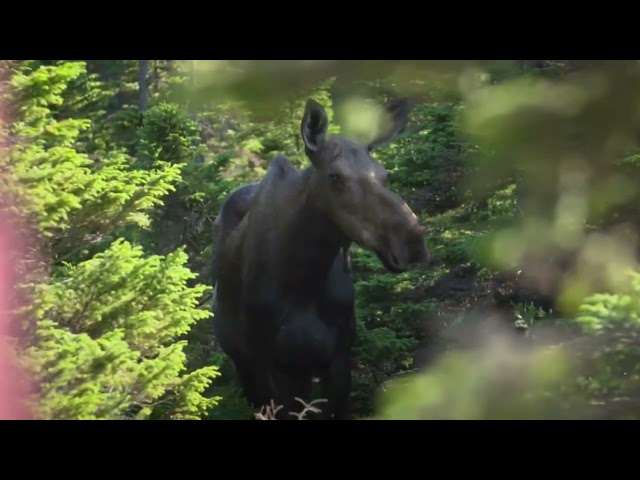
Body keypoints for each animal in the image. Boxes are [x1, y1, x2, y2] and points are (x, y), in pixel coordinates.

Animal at [211, 97, 430, 420]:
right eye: (335, 176)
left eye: (385, 174)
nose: (411, 241)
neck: (305, 279)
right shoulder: (270, 365)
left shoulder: (337, 358)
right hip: (247, 367)